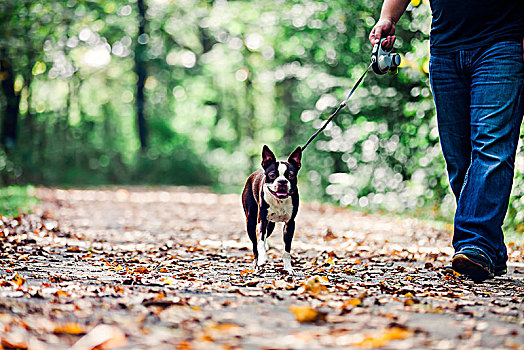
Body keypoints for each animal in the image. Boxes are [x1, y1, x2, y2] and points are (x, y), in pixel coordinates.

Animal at [243, 145, 302, 276]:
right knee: (255, 244)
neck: (279, 200)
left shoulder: (290, 224)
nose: (282, 181)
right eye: (272, 174)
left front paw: (288, 268)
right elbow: (260, 241)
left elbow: (286, 250)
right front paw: (263, 259)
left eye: (291, 175)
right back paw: (257, 264)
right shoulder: (262, 221)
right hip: (251, 222)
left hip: (271, 226)